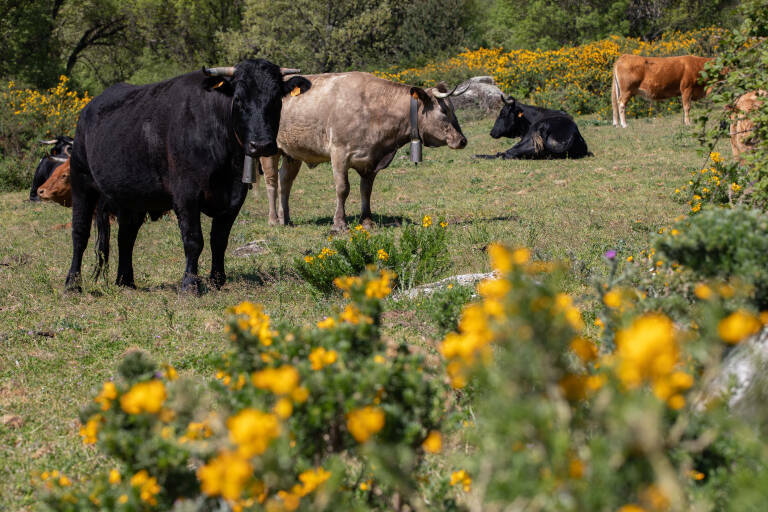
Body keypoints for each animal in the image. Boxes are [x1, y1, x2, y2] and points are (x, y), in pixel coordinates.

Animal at [67, 58, 310, 294]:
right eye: (239, 99)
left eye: (277, 99)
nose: (260, 145)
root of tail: (89, 108)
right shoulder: (186, 194)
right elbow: (194, 240)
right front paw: (190, 284)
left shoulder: (235, 196)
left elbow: (219, 239)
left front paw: (217, 280)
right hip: (82, 182)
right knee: (80, 234)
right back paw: (72, 285)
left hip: (131, 196)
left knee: (126, 236)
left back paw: (125, 282)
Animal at [260, 71, 468, 231]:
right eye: (444, 112)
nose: (462, 140)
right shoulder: (339, 153)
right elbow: (343, 189)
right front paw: (339, 223)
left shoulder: (371, 160)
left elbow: (366, 190)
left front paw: (367, 221)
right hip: (269, 150)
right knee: (272, 182)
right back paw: (273, 220)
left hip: (292, 153)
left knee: (285, 182)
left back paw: (286, 219)